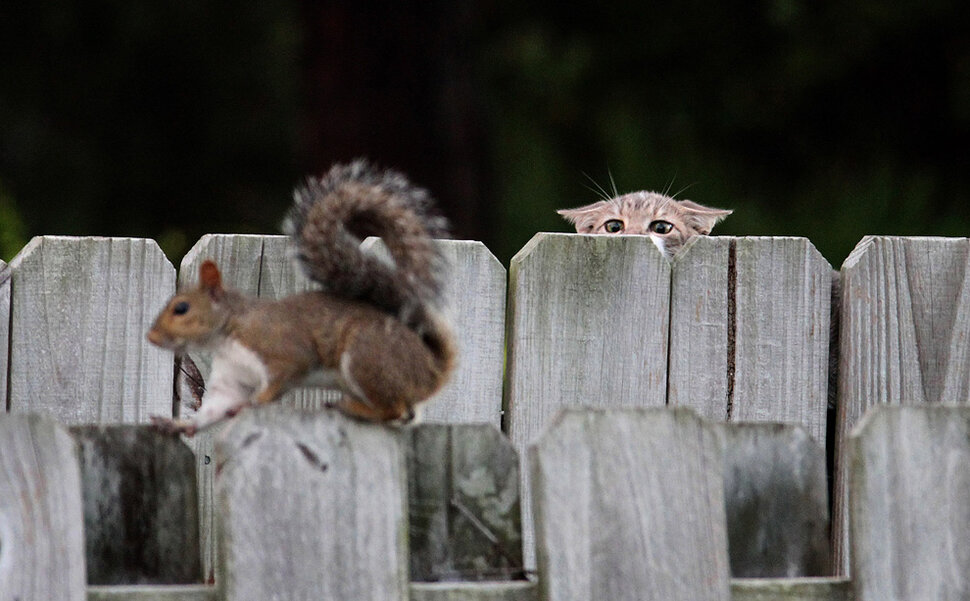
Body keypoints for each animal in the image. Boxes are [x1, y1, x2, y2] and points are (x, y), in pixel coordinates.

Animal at [148, 159, 458, 434]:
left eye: (181, 308)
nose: (151, 337)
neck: (227, 334)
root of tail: (431, 368)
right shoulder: (233, 378)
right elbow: (217, 406)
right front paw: (179, 426)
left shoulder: (281, 350)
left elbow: (280, 379)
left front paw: (253, 403)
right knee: (404, 414)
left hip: (368, 357)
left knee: (394, 409)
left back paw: (350, 408)